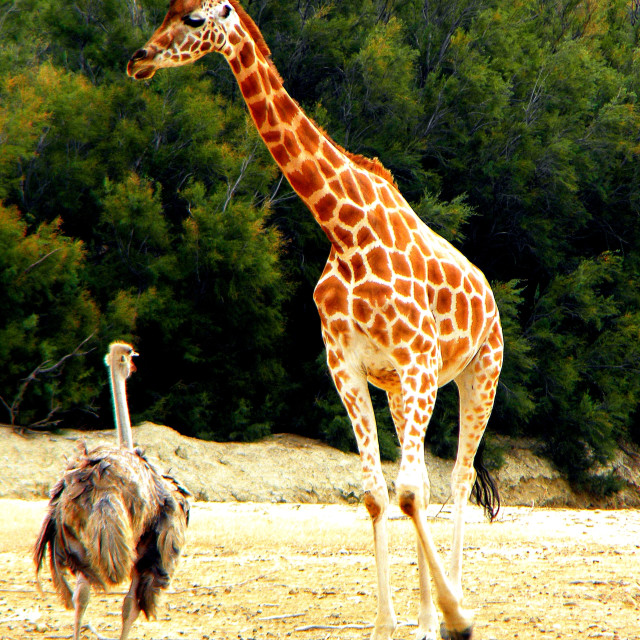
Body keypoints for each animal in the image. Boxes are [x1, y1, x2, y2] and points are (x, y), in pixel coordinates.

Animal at [126, 2, 504, 636]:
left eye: (195, 18)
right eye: (165, 12)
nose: (139, 59)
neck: (346, 228)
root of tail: (492, 296)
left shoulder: (418, 358)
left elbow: (409, 491)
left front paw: (454, 616)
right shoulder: (348, 366)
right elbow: (379, 494)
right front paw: (387, 625)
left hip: (480, 372)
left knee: (456, 477)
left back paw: (452, 609)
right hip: (402, 389)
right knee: (428, 482)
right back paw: (426, 615)